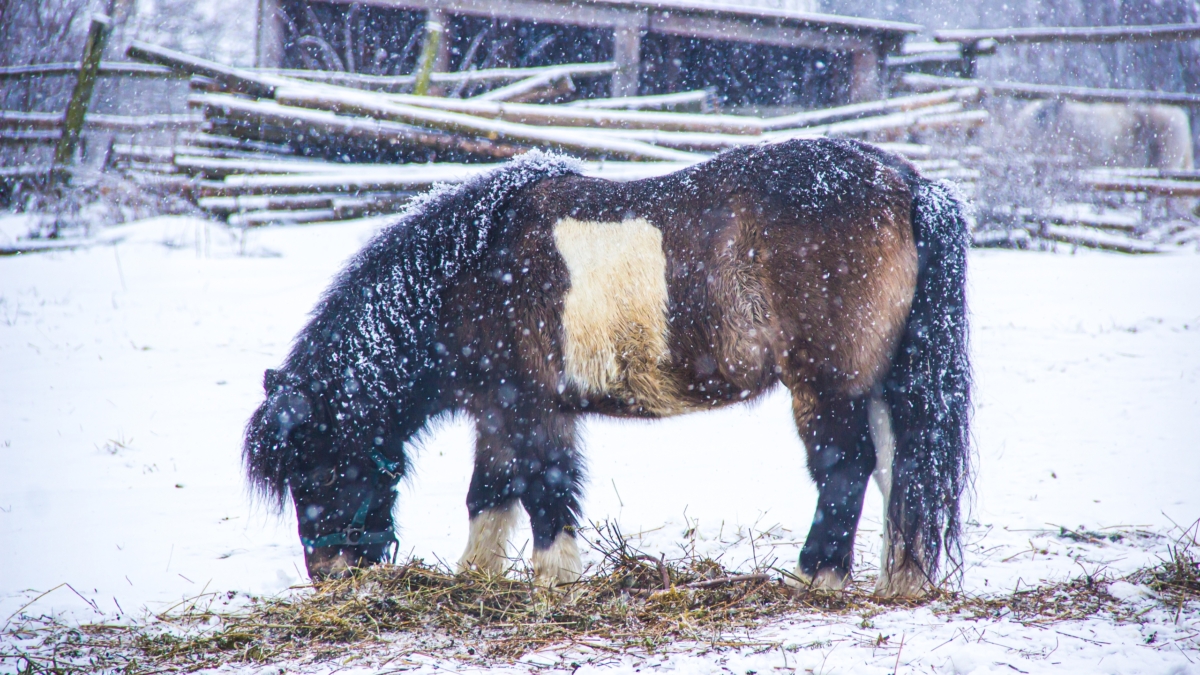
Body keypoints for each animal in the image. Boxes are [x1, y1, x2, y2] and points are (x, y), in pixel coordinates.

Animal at [246, 136, 974, 593]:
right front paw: (479, 576)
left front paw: (556, 582)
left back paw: (816, 577)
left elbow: (543, 491)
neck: (467, 274)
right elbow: (490, 493)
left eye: (314, 471)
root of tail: (906, 184)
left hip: (824, 383)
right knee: (896, 468)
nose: (331, 574)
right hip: (880, 382)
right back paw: (899, 581)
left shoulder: (529, 407)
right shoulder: (502, 411)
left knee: (845, 470)